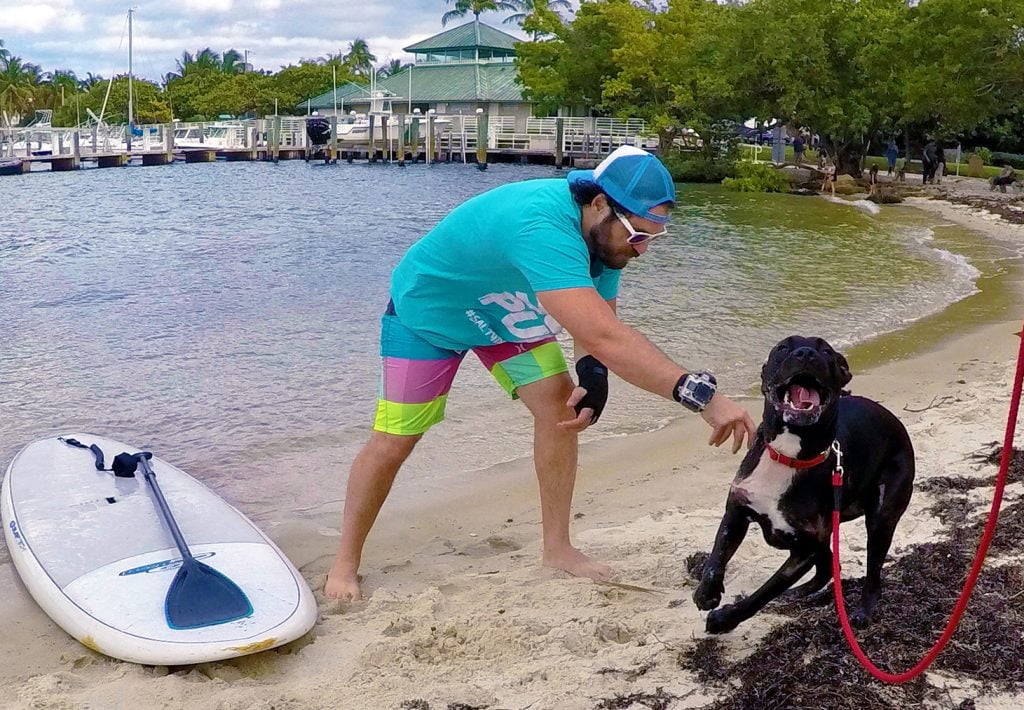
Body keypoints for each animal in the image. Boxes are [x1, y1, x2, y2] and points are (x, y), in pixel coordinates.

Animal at [692, 336, 917, 635]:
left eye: (827, 352)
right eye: (782, 348)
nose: (807, 353)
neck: (789, 456)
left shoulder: (804, 550)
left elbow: (765, 592)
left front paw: (724, 619)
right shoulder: (738, 510)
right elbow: (717, 555)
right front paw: (707, 593)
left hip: (881, 516)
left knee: (872, 574)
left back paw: (862, 611)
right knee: (828, 567)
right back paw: (799, 593)